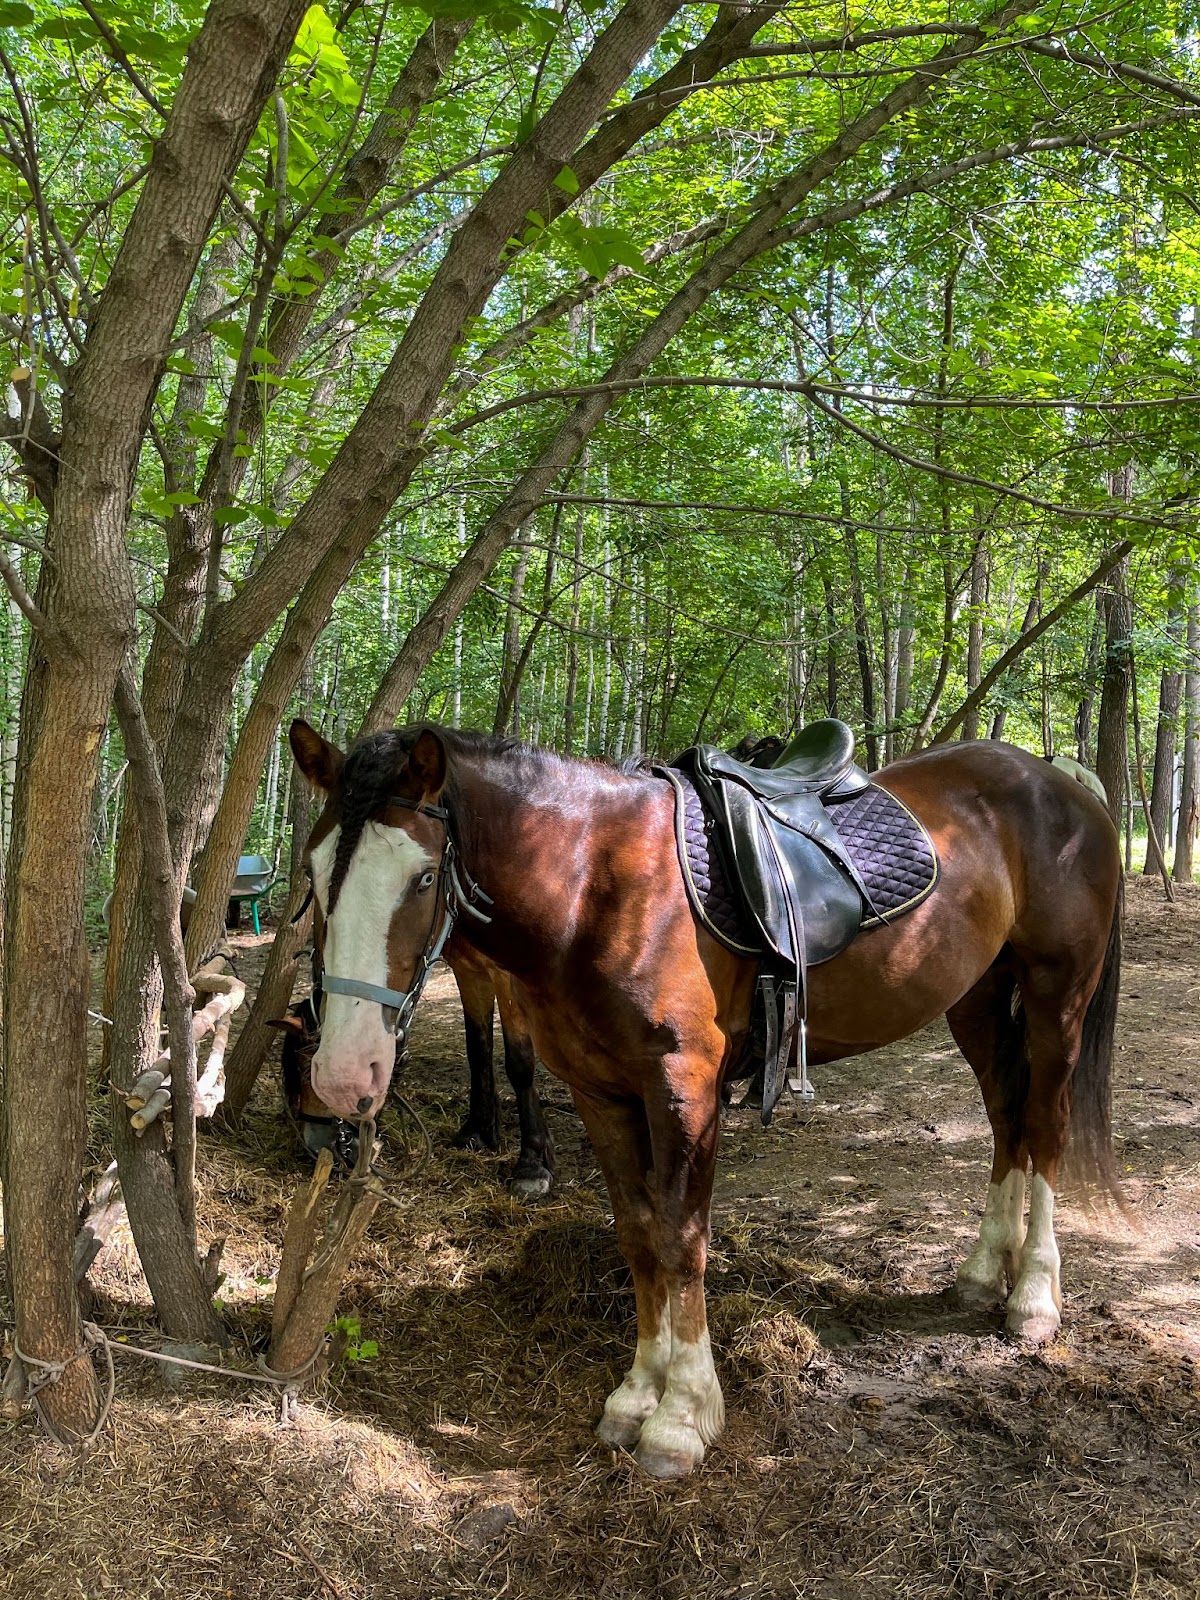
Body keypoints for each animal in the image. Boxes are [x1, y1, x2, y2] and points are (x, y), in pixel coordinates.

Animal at [286, 723, 1126, 1472]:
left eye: (424, 877)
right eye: (314, 874)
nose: (343, 1074)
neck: (595, 889)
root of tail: (1058, 780)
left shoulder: (683, 1088)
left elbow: (682, 1239)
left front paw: (682, 1418)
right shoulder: (600, 1093)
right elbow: (638, 1235)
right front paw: (635, 1396)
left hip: (1056, 996)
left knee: (1045, 1125)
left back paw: (1034, 1299)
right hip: (977, 1000)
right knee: (1007, 1121)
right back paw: (985, 1271)